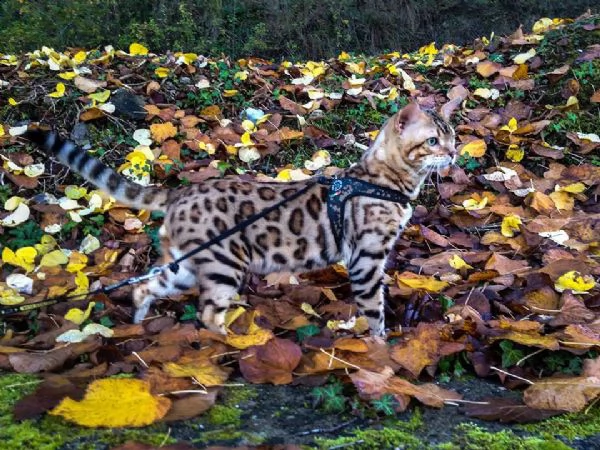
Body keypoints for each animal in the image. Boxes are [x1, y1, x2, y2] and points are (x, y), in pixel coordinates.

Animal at [22, 102, 454, 334]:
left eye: (452, 136)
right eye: (433, 140)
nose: (452, 154)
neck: (387, 181)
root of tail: (183, 191)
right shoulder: (366, 258)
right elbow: (373, 310)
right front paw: (380, 351)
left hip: (185, 265)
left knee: (144, 288)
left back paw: (140, 324)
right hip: (223, 265)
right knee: (208, 314)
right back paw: (231, 347)